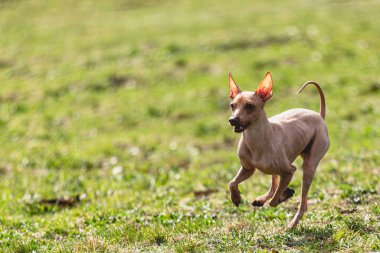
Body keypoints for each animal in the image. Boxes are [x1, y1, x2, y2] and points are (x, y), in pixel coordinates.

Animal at [229, 71, 330, 227]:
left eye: (249, 106)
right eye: (232, 105)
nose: (232, 120)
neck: (255, 140)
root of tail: (319, 116)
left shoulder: (289, 171)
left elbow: (274, 202)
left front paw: (285, 195)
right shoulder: (248, 169)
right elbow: (232, 183)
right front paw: (236, 197)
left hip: (309, 166)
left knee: (302, 203)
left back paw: (292, 223)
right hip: (276, 169)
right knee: (273, 187)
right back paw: (261, 200)